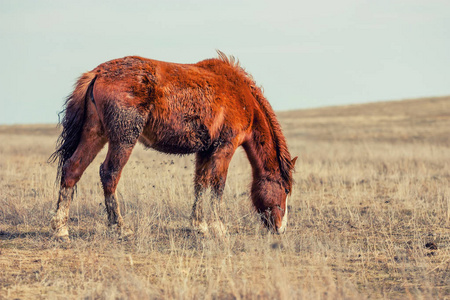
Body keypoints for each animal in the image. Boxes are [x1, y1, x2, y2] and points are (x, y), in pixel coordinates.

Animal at [49, 51, 298, 241]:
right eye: (285, 190)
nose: (281, 229)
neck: (241, 97)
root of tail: (98, 73)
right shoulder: (224, 148)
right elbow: (217, 186)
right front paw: (219, 228)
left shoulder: (205, 151)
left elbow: (201, 184)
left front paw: (199, 225)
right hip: (123, 139)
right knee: (109, 173)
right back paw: (120, 227)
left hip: (94, 134)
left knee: (72, 169)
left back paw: (61, 229)